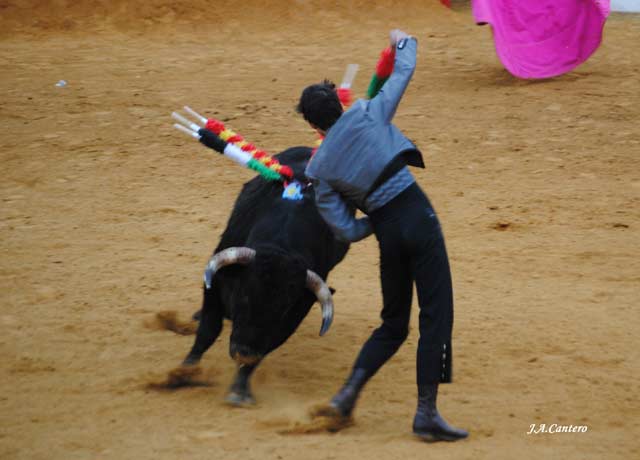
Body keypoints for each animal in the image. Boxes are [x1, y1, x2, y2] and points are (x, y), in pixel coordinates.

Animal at [180, 146, 350, 404]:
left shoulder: (291, 318)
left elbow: (266, 347)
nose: (244, 353)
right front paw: (186, 370)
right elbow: (208, 331)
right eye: (244, 296)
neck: (281, 245)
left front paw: (239, 390)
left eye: (283, 309)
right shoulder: (215, 284)